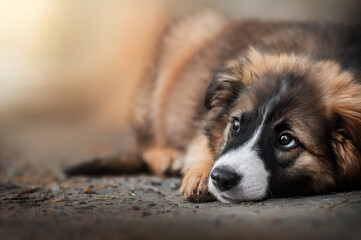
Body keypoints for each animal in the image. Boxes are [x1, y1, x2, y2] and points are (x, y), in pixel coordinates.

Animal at [64, 11, 360, 202]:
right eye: (236, 124)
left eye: (286, 140)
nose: (220, 178)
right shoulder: (204, 122)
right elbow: (206, 143)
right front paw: (200, 173)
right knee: (145, 143)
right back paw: (169, 158)